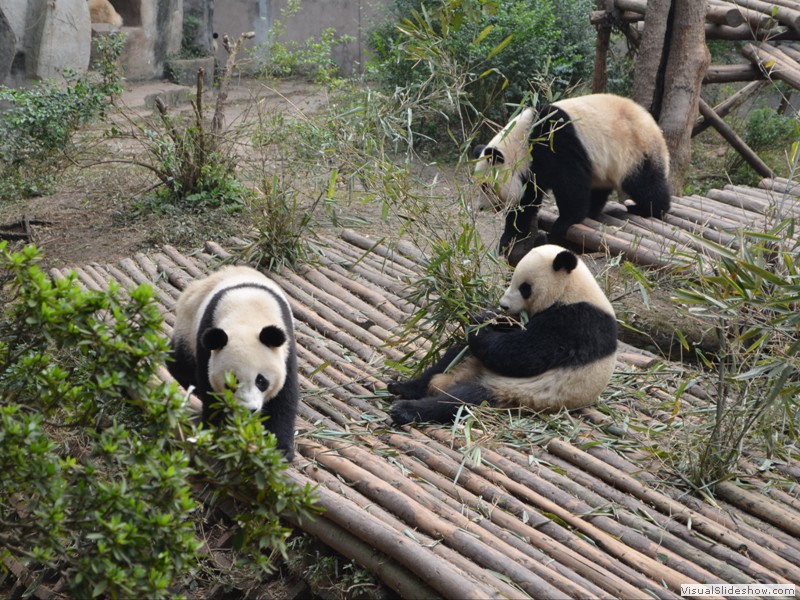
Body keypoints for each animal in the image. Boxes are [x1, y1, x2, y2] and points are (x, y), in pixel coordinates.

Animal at [167, 266, 298, 460]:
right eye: (232, 383)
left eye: (261, 381)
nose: (249, 410)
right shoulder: (206, 339)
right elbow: (210, 391)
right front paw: (218, 431)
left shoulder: (285, 349)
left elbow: (284, 398)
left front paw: (280, 449)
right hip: (187, 325)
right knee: (181, 362)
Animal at [388, 241, 620, 424]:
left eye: (525, 287)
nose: (504, 305)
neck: (572, 289)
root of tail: (471, 374)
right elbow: (508, 331)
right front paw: (486, 316)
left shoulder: (575, 323)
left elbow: (525, 355)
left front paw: (477, 326)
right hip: (476, 364)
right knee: (451, 357)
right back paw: (402, 387)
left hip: (512, 391)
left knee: (460, 400)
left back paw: (406, 411)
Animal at [472, 92, 672, 264]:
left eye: (485, 186)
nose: (481, 207)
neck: (522, 140)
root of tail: (655, 127)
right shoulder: (531, 169)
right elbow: (525, 203)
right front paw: (507, 240)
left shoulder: (554, 140)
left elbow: (571, 182)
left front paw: (564, 222)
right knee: (599, 189)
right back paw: (592, 210)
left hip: (634, 150)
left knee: (644, 183)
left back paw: (647, 209)